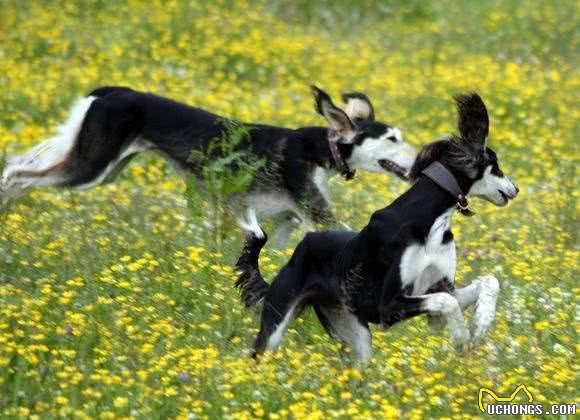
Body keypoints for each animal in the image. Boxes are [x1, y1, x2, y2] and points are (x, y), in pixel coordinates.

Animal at [238, 92, 520, 360]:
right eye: (497, 167)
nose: (516, 190)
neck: (430, 220)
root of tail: (301, 247)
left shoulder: (438, 289)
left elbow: (487, 282)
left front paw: (481, 322)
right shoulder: (389, 306)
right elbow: (446, 301)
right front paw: (461, 336)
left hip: (356, 336)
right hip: (275, 324)